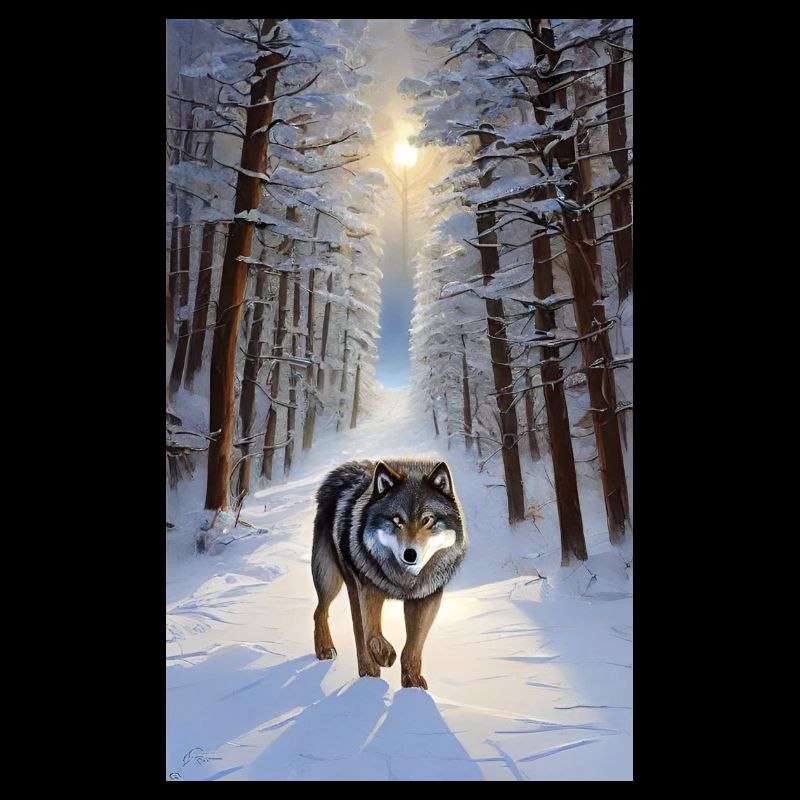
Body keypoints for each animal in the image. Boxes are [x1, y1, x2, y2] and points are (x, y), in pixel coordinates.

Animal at [312, 458, 467, 689]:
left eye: (427, 520)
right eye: (397, 520)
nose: (410, 554)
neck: (403, 581)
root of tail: (344, 470)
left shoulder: (426, 598)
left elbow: (413, 647)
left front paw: (412, 683)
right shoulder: (368, 589)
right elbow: (372, 633)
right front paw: (385, 655)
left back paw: (368, 673)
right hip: (330, 579)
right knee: (320, 611)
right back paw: (327, 650)